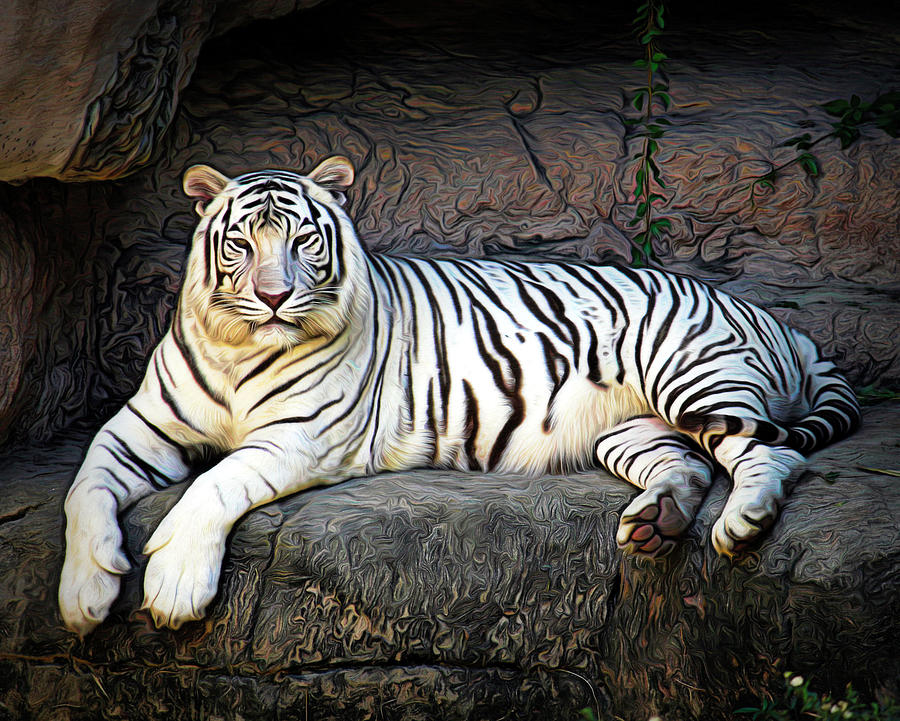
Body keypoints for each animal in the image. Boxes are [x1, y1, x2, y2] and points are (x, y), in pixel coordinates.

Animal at [59, 156, 860, 635]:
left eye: (303, 242)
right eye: (241, 245)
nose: (276, 296)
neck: (237, 347)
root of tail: (778, 321)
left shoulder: (301, 436)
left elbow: (216, 483)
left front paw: (173, 585)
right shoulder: (140, 425)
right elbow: (84, 486)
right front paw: (82, 594)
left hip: (691, 374)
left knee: (765, 453)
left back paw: (742, 523)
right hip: (631, 428)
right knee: (688, 464)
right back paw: (654, 525)